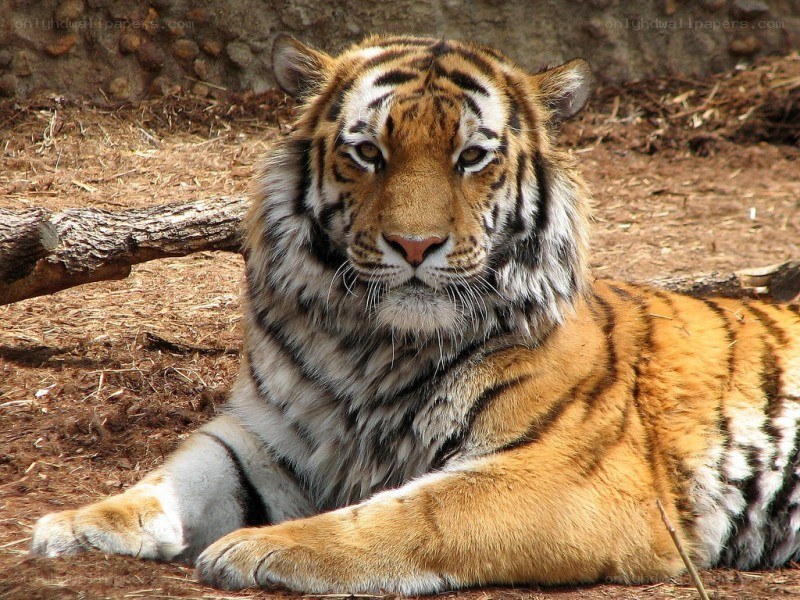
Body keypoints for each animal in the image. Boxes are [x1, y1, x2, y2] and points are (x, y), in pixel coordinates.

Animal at [30, 34, 800, 594]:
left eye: (472, 157)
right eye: (369, 152)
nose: (415, 245)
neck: (373, 345)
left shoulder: (567, 476)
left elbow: (414, 512)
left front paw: (257, 548)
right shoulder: (263, 436)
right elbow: (171, 479)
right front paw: (72, 526)